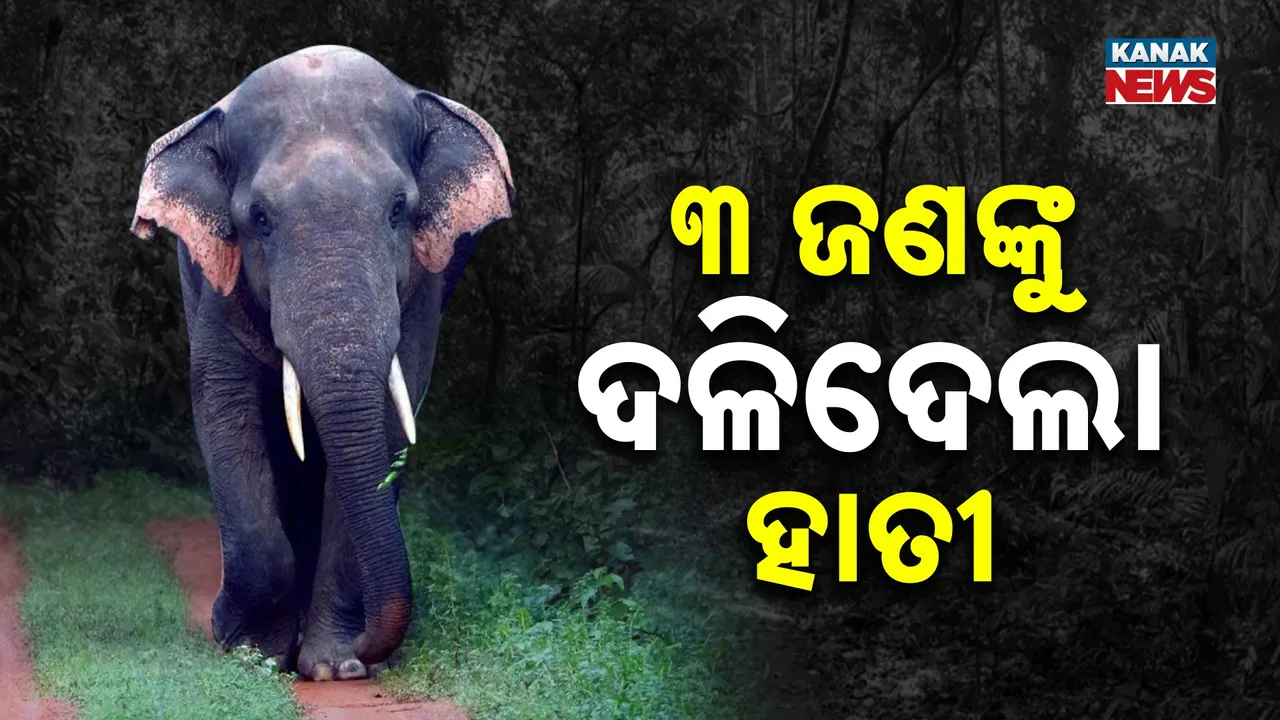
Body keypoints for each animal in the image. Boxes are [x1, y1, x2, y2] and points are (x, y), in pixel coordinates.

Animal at [129, 45, 514, 680]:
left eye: (399, 209)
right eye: (258, 218)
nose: (367, 649)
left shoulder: (425, 285)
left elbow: (390, 412)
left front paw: (337, 668)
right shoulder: (216, 286)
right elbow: (221, 398)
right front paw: (246, 646)